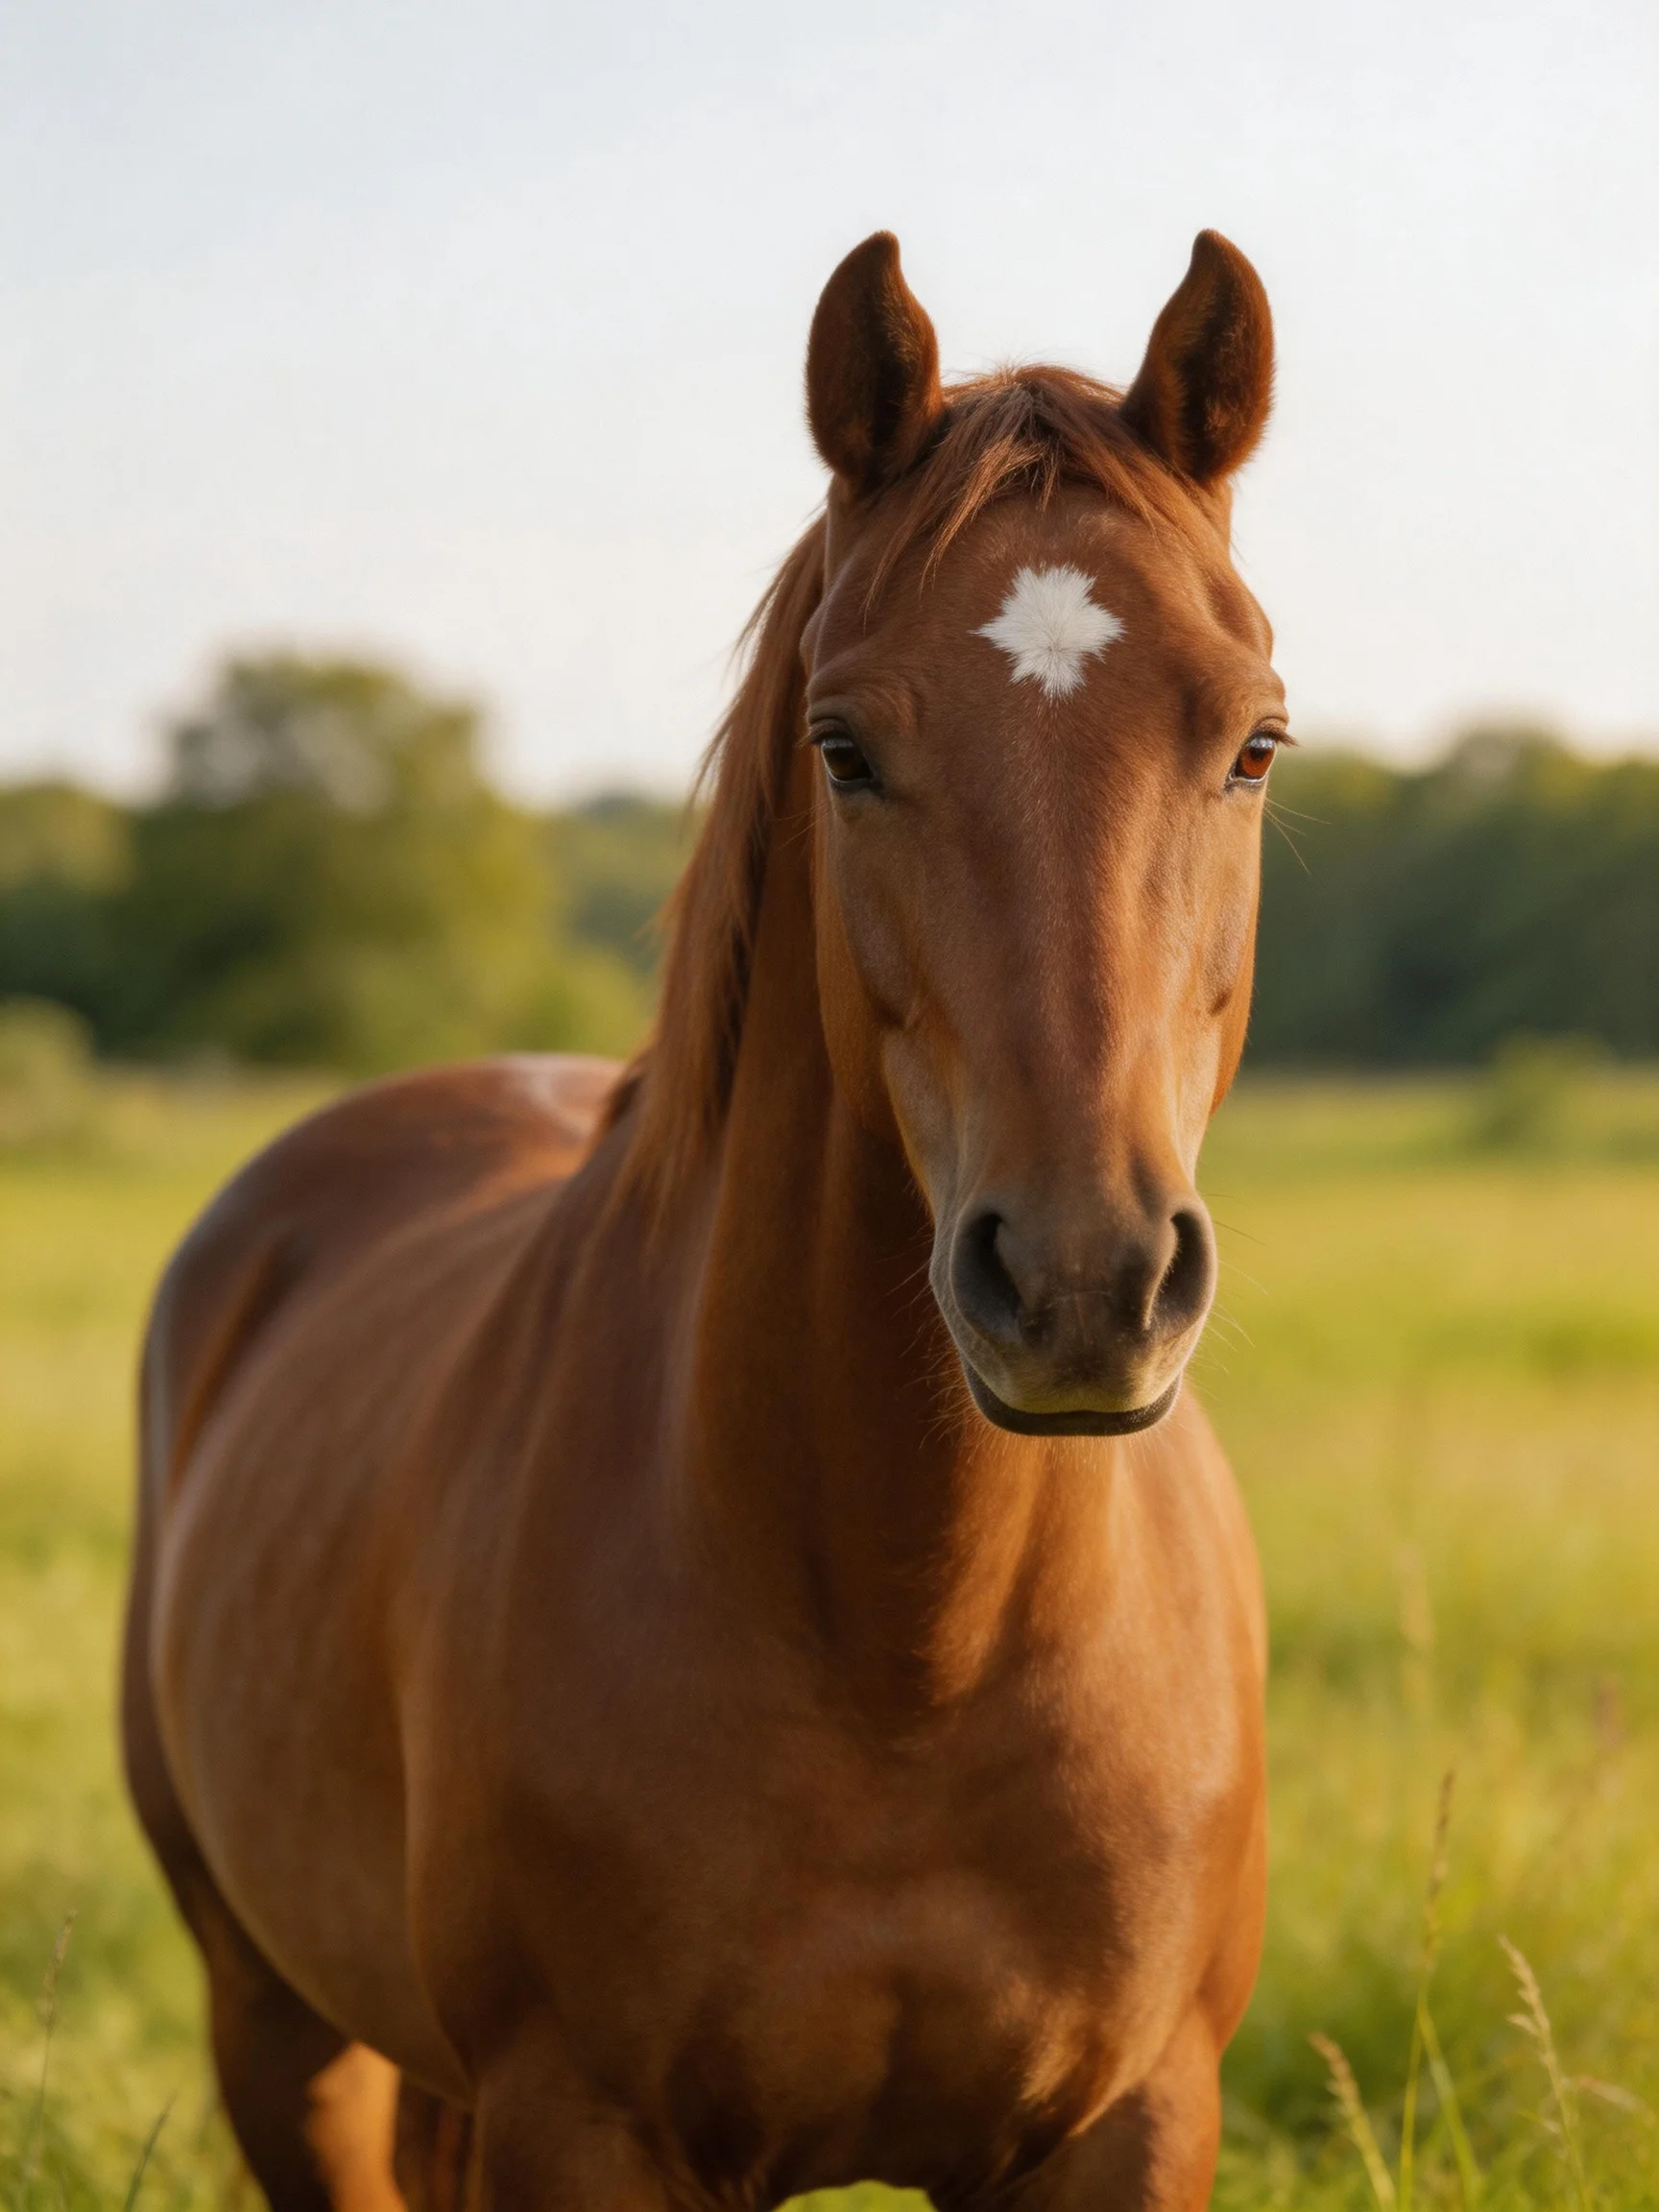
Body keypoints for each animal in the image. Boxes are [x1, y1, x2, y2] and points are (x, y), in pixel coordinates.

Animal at [123, 227, 1284, 2212]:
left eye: (1254, 743)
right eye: (843, 746)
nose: (1081, 1279)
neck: (907, 1643)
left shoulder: (1129, 2123)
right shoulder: (584, 2125)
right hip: (273, 2024)